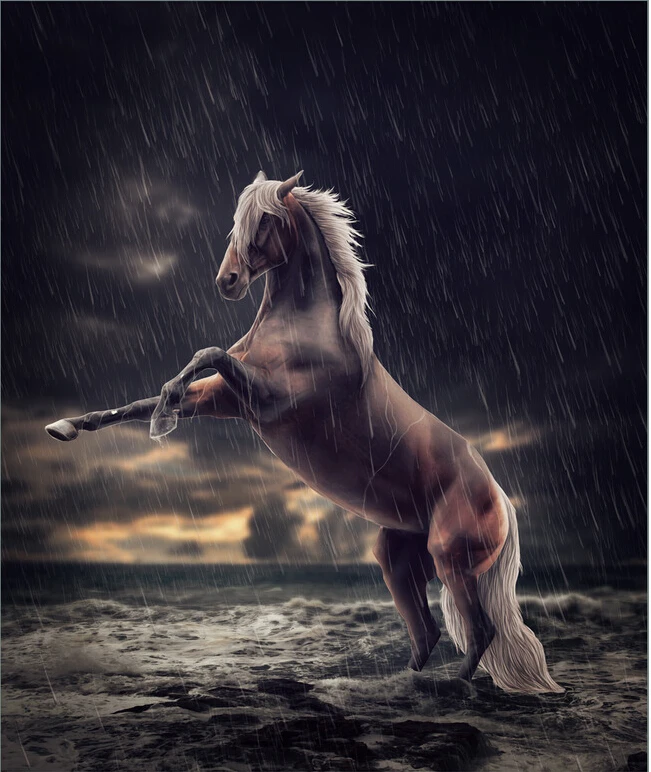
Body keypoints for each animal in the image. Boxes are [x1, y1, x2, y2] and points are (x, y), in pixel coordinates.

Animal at [45, 171, 563, 694]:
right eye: (237, 220)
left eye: (265, 221)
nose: (227, 282)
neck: (308, 330)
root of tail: (498, 495)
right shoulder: (226, 399)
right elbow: (150, 395)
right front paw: (69, 426)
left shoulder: (267, 401)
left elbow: (208, 352)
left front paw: (162, 415)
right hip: (397, 558)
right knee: (427, 632)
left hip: (451, 560)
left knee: (479, 631)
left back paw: (451, 687)